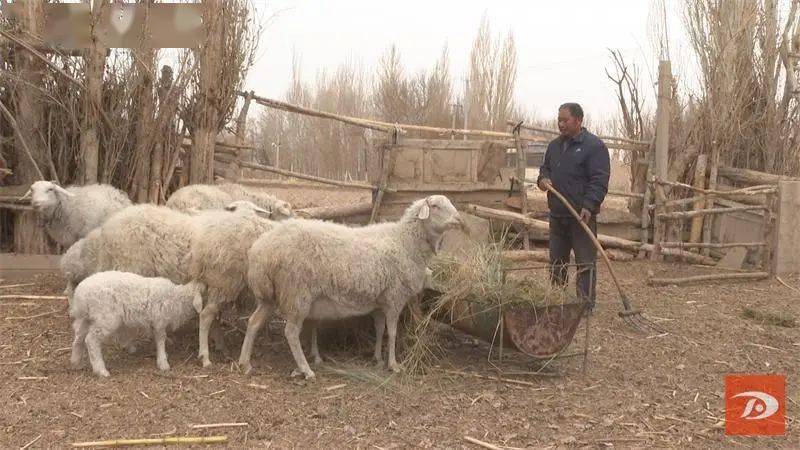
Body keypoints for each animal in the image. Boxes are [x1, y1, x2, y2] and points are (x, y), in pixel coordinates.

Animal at [69, 270, 205, 376]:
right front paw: (163, 362)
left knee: (78, 338)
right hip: (105, 318)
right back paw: (101, 370)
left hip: (86, 318)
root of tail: (80, 295)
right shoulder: (159, 321)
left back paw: (76, 363)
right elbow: (160, 340)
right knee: (91, 340)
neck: (176, 299)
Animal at [238, 194, 462, 380]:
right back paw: (306, 370)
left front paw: (377, 358)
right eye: (435, 206)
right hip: (296, 293)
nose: (459, 219)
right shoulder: (394, 298)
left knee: (253, 322)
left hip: (271, 296)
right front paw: (393, 364)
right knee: (291, 332)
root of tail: (261, 250)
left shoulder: (380, 301)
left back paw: (245, 363)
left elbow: (380, 328)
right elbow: (392, 332)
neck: (405, 241)